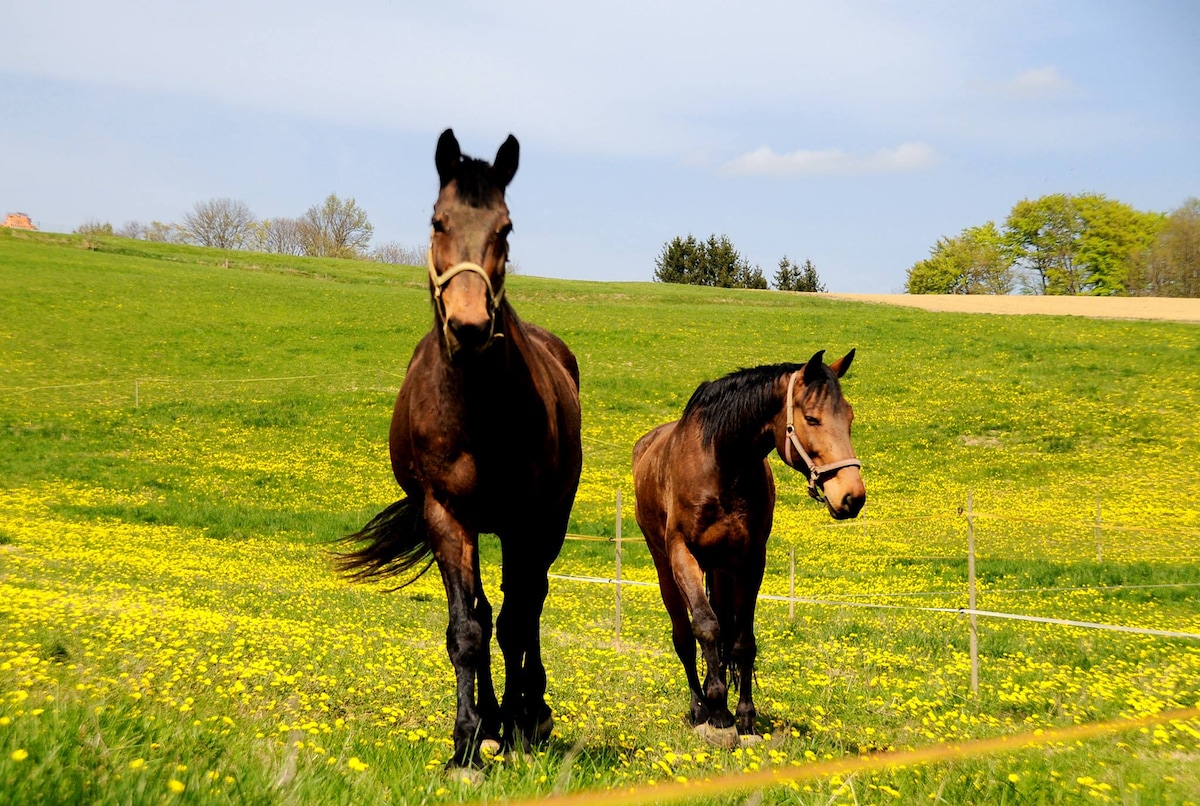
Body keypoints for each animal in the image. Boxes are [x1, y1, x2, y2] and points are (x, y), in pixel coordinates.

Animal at [336, 128, 583, 772]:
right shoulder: (447, 516)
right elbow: (467, 630)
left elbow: (519, 621)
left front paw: (521, 722)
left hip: (548, 525)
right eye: (438, 220)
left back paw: (530, 713)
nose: (469, 326)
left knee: (529, 607)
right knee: (489, 613)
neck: (477, 408)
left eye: (506, 226)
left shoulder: (525, 522)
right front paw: (468, 741)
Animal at [638, 352, 864, 748]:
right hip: (665, 566)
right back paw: (700, 708)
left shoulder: (750, 560)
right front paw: (718, 715)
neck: (721, 462)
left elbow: (742, 641)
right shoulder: (683, 555)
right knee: (684, 636)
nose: (852, 496)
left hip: (721, 570)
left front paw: (744, 718)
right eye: (812, 418)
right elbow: (706, 628)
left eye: (849, 417)